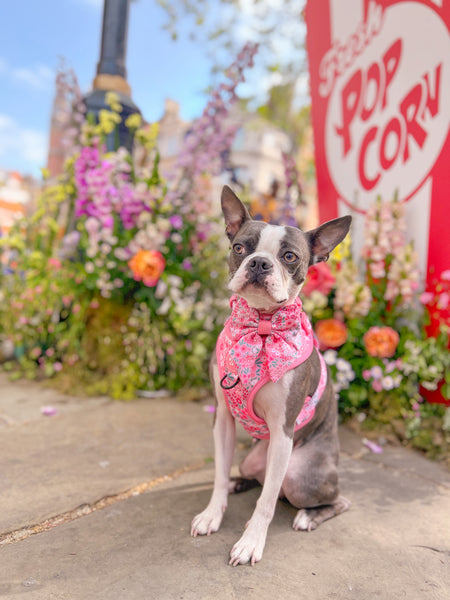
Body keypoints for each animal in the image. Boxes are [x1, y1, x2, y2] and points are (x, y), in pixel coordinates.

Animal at [190, 188, 352, 568]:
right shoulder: (223, 419)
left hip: (298, 475)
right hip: (252, 458)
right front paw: (213, 513)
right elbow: (218, 474)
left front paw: (250, 542)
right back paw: (237, 483)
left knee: (328, 498)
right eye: (239, 247)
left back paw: (307, 516)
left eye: (289, 256)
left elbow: (264, 504)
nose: (260, 263)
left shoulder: (282, 432)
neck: (261, 327)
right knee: (255, 477)